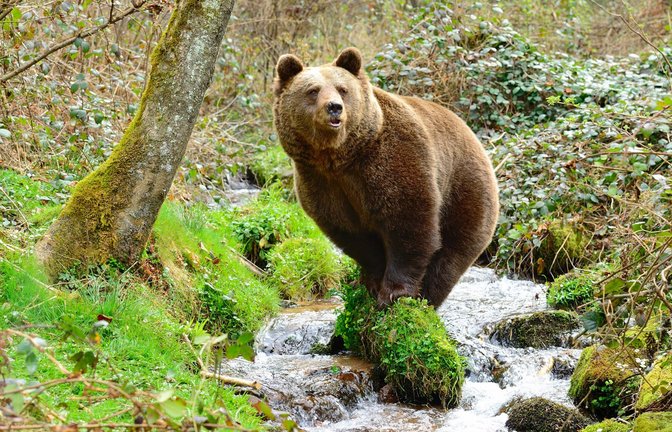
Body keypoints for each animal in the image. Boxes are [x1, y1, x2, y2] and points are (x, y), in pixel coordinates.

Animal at [273, 47, 499, 308]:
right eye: (313, 90)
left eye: (342, 89)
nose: (334, 107)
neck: (340, 157)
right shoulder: (322, 182)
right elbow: (355, 236)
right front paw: (371, 283)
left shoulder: (392, 160)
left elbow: (408, 224)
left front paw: (394, 292)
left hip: (464, 190)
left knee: (451, 255)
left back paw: (428, 296)